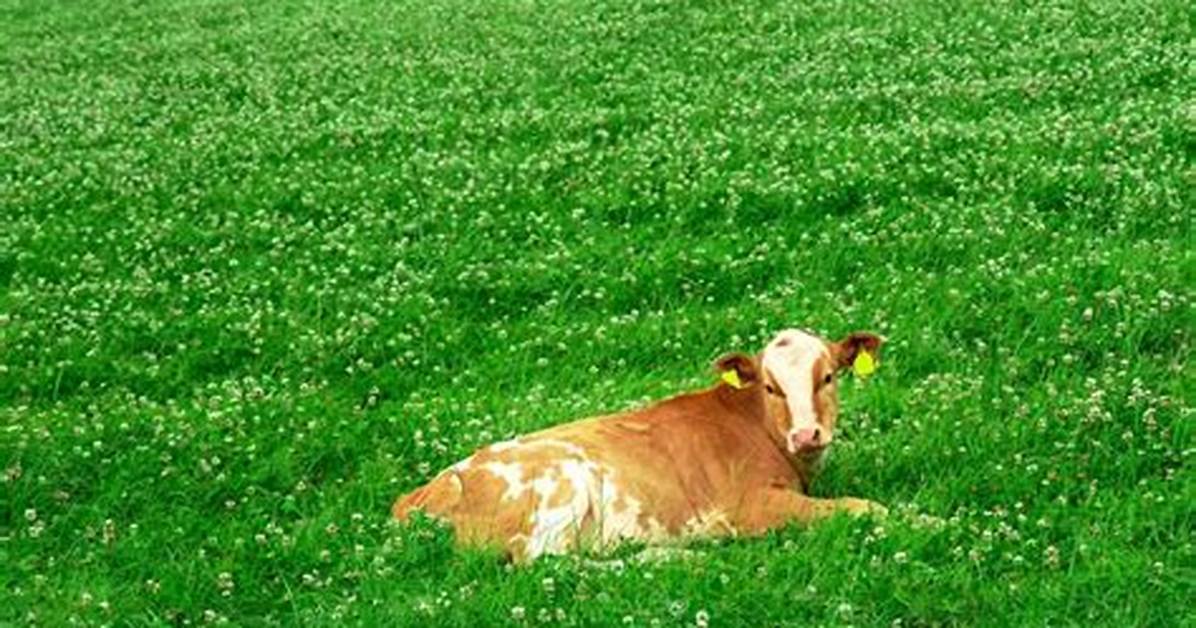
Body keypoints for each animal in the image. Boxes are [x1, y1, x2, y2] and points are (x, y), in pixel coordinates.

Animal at [393, 328, 887, 562]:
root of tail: (423, 493)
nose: (806, 434)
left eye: (828, 377)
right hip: (561, 486)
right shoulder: (746, 507)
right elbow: (866, 507)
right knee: (542, 563)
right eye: (770, 387)